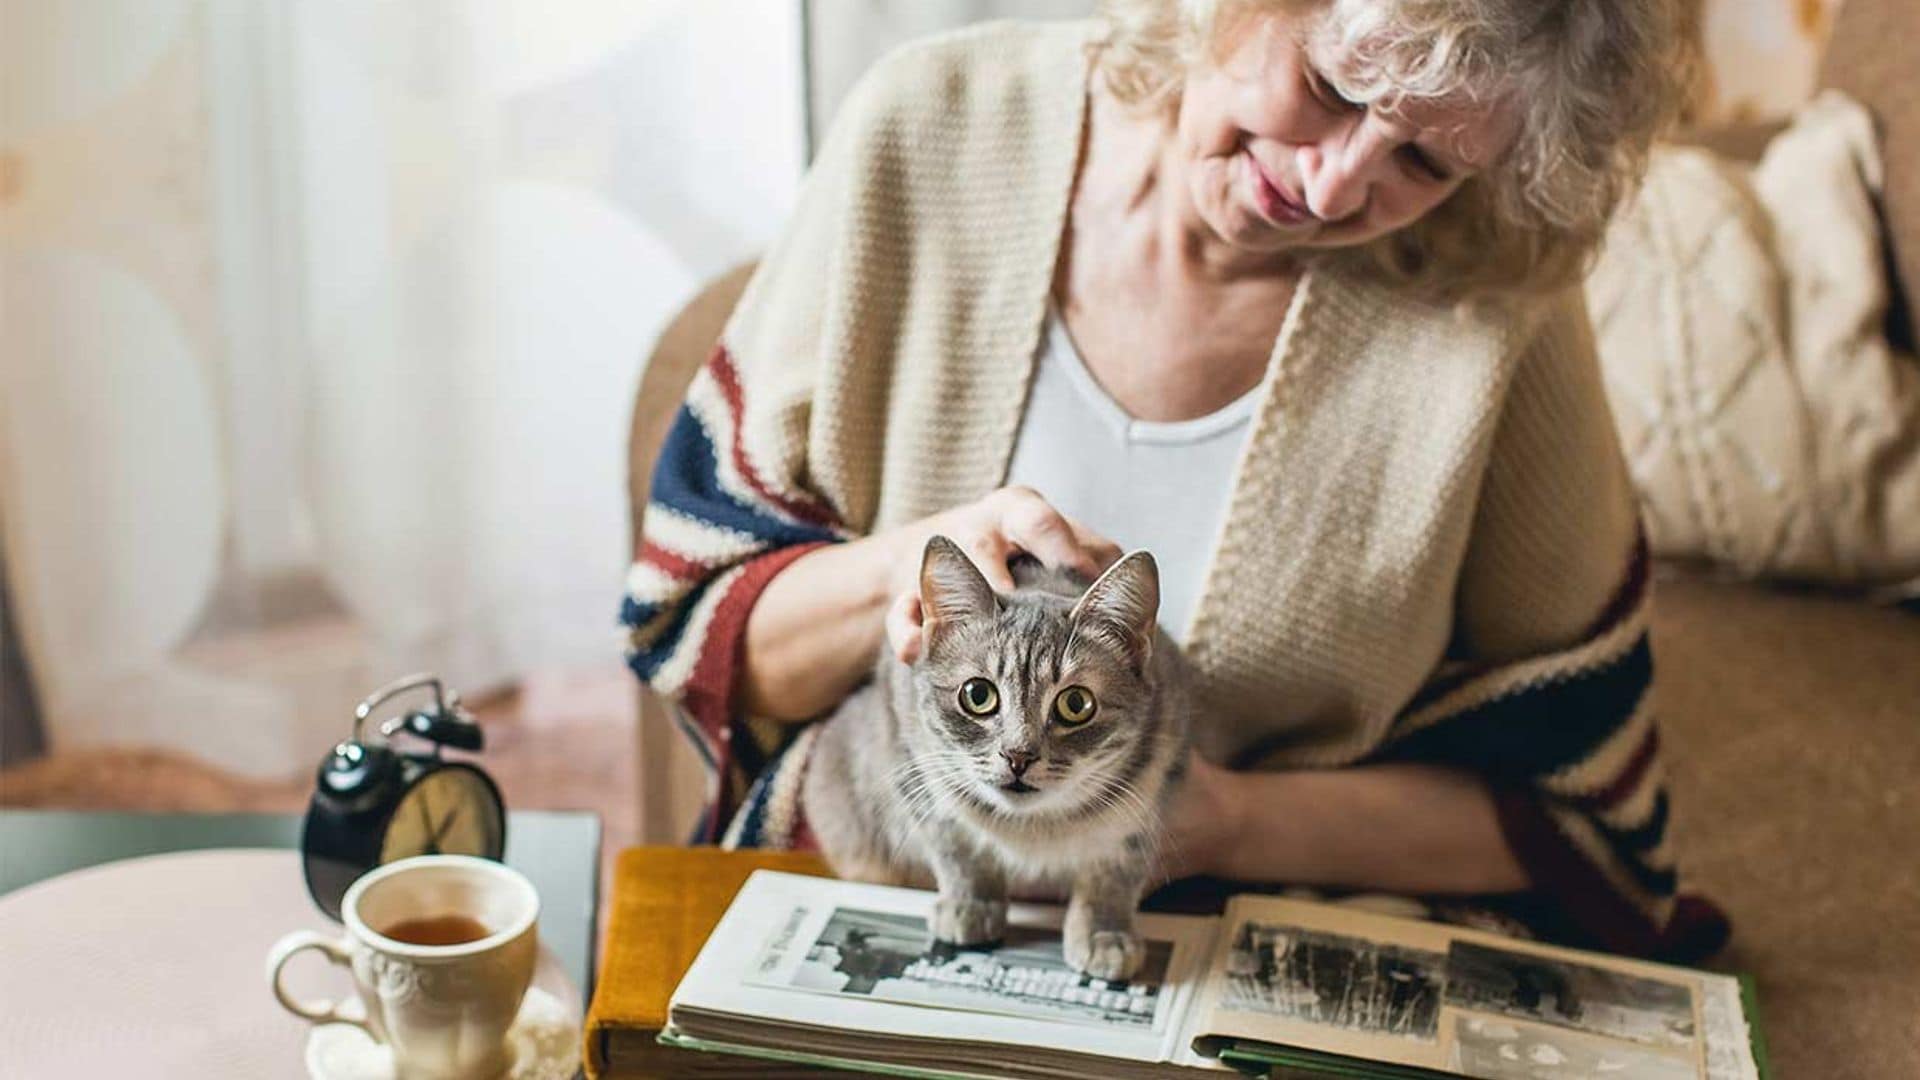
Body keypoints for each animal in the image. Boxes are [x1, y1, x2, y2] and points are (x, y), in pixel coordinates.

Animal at [798, 530, 1182, 976]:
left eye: (1076, 704)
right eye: (977, 695)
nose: (1018, 756)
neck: (1033, 827)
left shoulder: (1148, 795)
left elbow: (1114, 874)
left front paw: (1105, 934)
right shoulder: (915, 770)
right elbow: (958, 852)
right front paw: (970, 905)